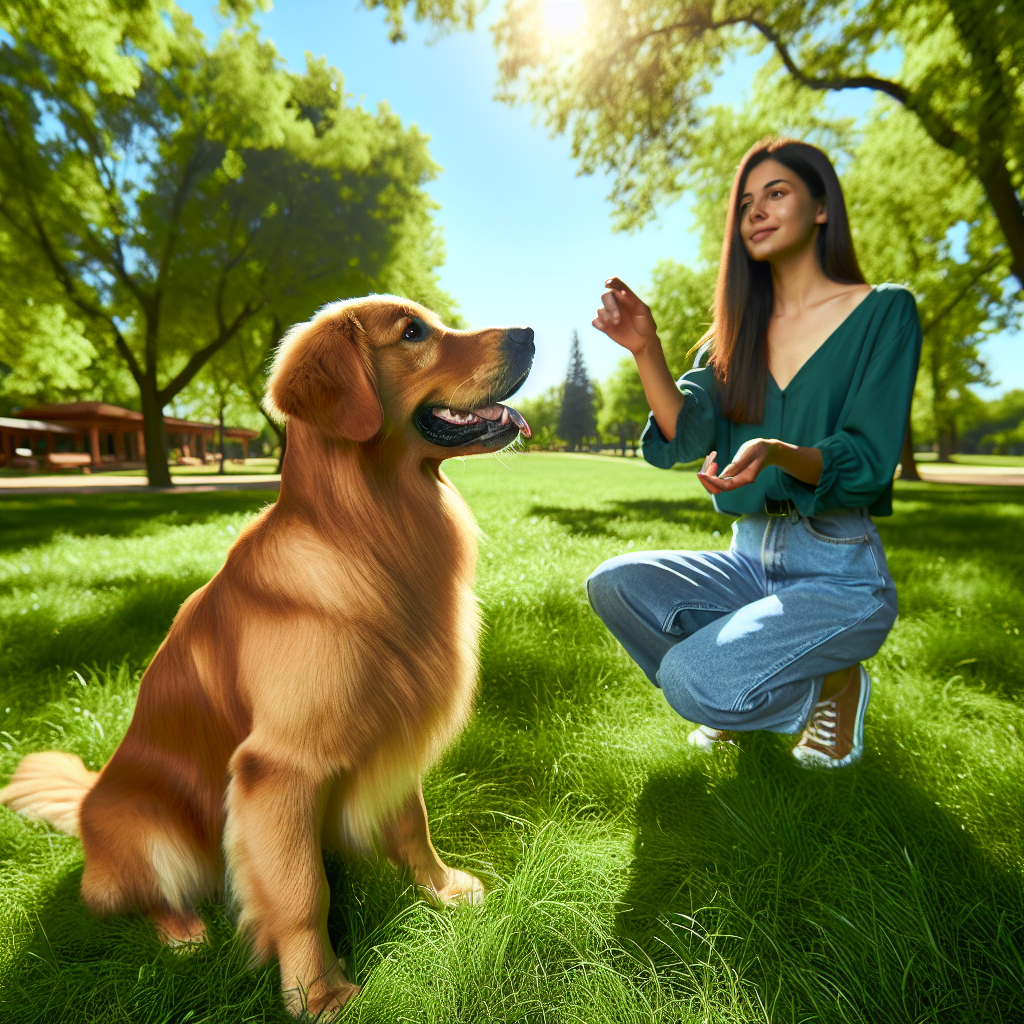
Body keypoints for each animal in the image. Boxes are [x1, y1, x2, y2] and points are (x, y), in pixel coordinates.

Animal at [0, 296, 540, 1015]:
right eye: (413, 332)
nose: (530, 332)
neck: (369, 532)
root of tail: (89, 801)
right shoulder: (277, 768)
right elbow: (302, 891)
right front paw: (319, 992)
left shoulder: (395, 724)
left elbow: (411, 822)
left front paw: (441, 887)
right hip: (151, 826)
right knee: (133, 896)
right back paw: (184, 933)